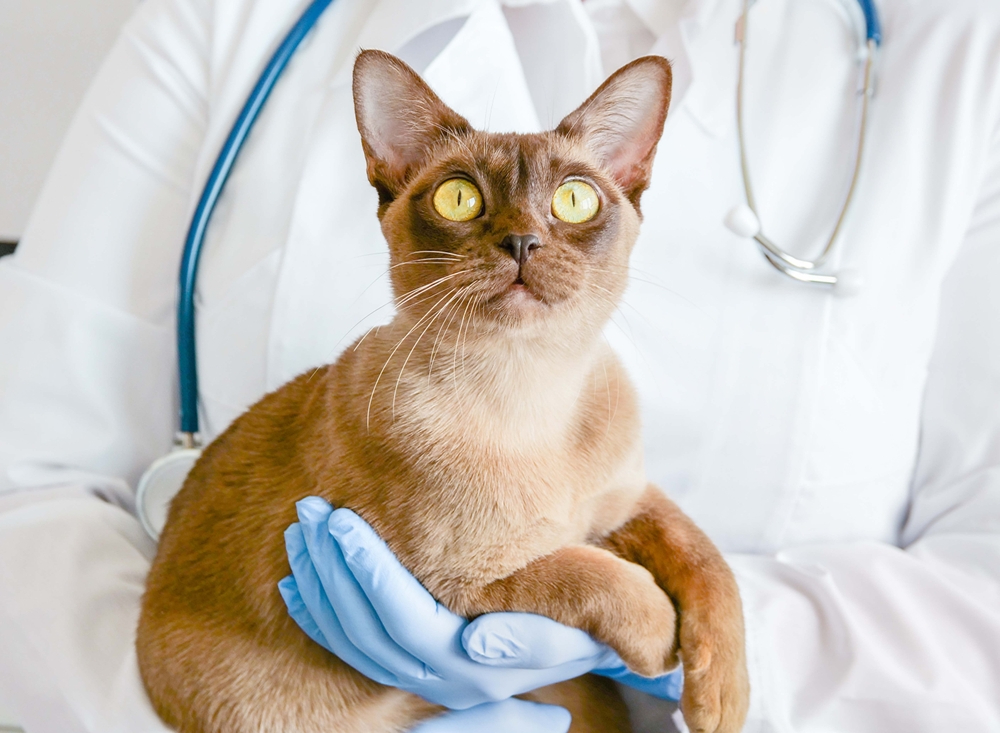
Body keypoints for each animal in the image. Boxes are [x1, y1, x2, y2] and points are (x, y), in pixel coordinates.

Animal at [139, 48, 752, 728]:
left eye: (573, 200)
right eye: (459, 197)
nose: (521, 242)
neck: (531, 392)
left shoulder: (626, 502)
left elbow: (707, 560)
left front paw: (721, 701)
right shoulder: (462, 581)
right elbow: (596, 576)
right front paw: (659, 642)